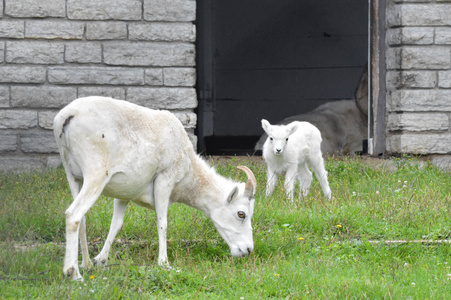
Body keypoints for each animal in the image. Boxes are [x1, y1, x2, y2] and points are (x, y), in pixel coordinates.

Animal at [52, 96, 258, 282]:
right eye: (241, 213)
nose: (248, 250)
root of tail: (67, 116)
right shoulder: (164, 181)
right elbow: (163, 223)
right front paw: (164, 264)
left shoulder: (124, 195)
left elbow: (116, 224)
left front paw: (100, 260)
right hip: (95, 175)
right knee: (73, 215)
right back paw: (73, 274)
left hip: (74, 176)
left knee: (82, 219)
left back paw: (85, 264)